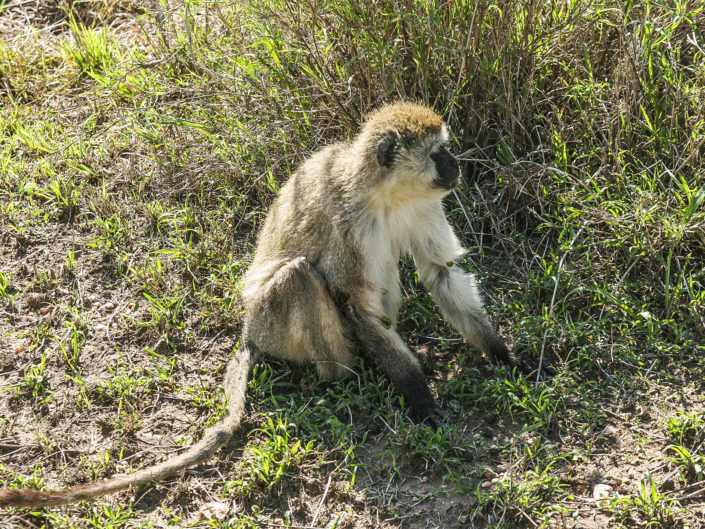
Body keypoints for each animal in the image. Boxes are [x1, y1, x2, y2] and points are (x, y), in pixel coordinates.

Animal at [0, 101, 516, 510]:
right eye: (438, 152)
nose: (457, 166)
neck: (385, 193)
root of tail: (250, 331)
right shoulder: (351, 222)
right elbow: (358, 303)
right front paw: (419, 396)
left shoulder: (424, 206)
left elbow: (441, 271)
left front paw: (505, 355)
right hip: (274, 324)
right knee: (300, 277)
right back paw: (344, 379)